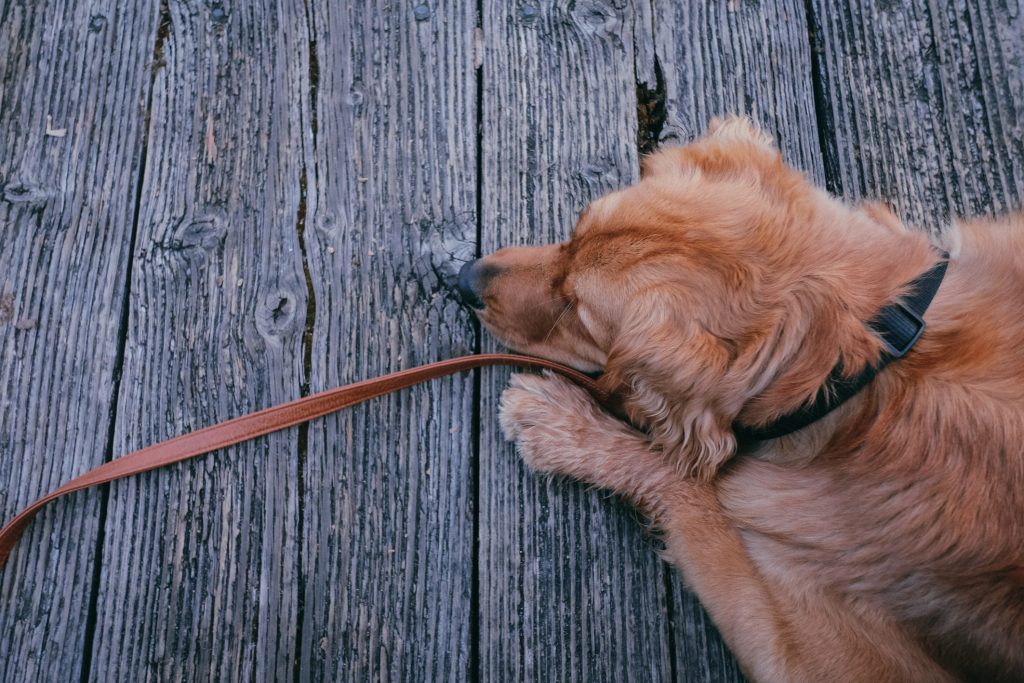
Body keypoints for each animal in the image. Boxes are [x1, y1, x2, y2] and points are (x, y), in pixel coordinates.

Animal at [456, 117, 1024, 683]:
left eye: (575, 310)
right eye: (574, 232)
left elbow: (689, 489)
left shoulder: (834, 660)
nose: (463, 279)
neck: (872, 357)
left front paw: (560, 425)